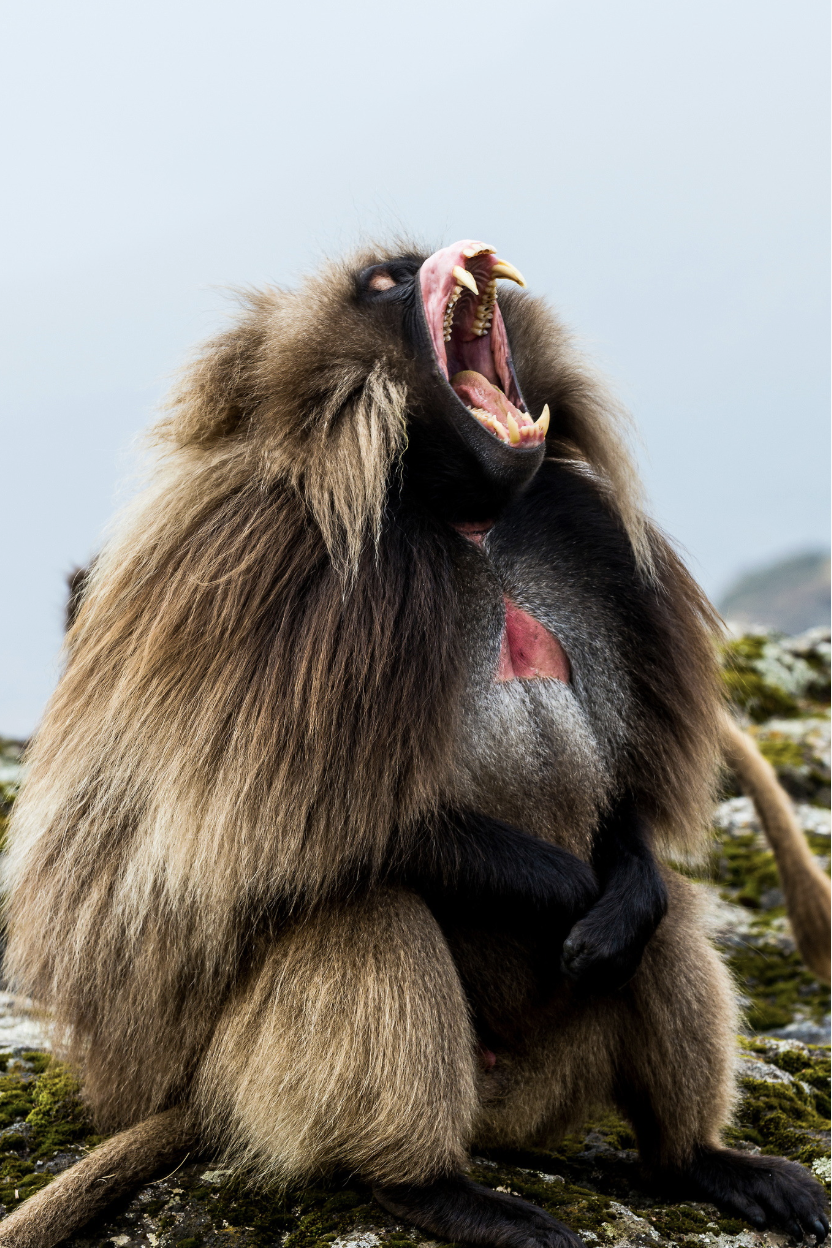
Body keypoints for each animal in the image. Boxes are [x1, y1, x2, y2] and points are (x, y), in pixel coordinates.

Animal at [1, 240, 828, 1248]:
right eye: (384, 283)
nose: (440, 255)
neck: (465, 525)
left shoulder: (579, 539)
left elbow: (626, 826)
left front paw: (615, 894)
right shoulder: (266, 571)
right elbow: (298, 839)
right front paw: (568, 889)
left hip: (548, 1082)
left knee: (661, 915)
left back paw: (702, 1160)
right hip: (259, 1079)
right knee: (367, 908)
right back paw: (434, 1188)